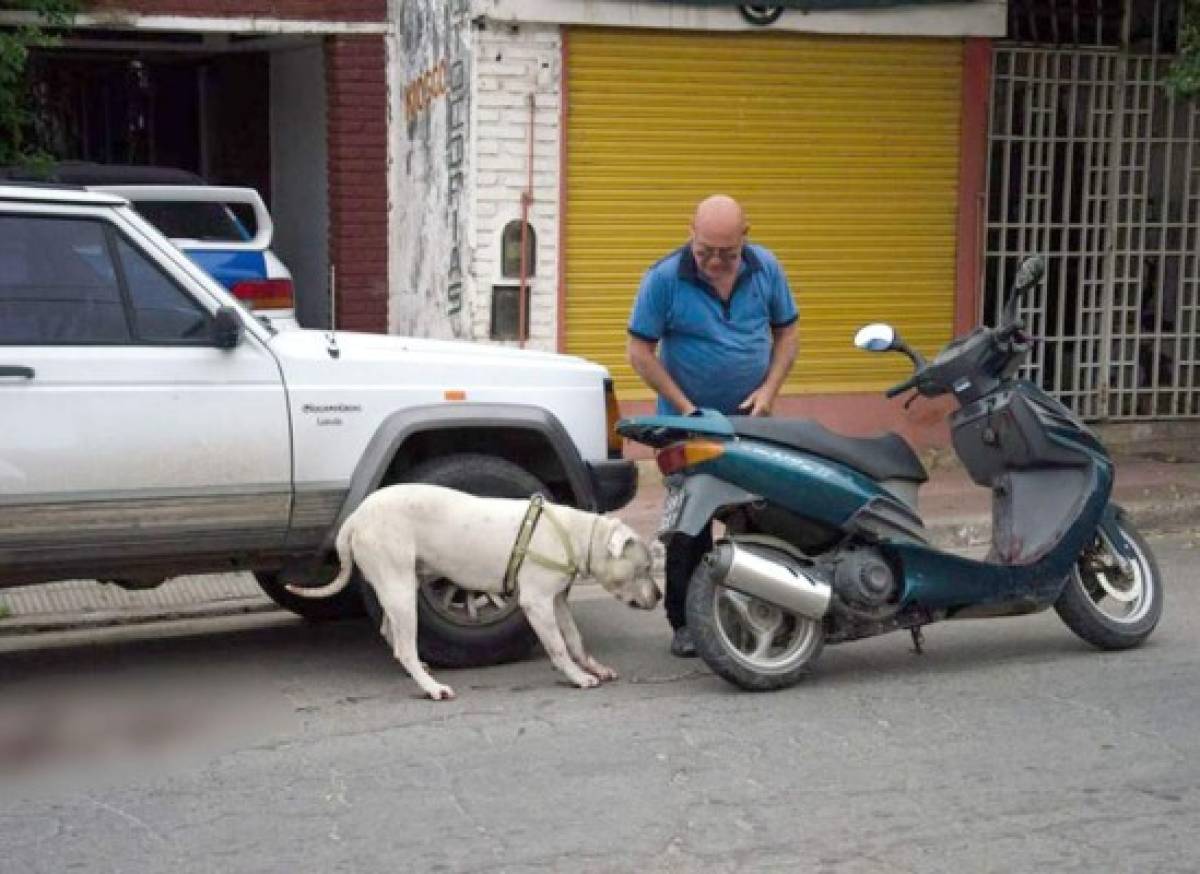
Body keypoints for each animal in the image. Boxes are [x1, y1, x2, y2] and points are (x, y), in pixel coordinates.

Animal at [291, 485, 667, 701]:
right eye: (644, 568)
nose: (660, 596)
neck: (576, 534)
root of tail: (355, 519)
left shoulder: (556, 600)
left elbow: (574, 639)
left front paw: (594, 667)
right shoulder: (537, 602)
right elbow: (558, 646)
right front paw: (577, 677)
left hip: (397, 585)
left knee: (393, 634)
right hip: (398, 585)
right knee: (403, 646)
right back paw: (431, 687)